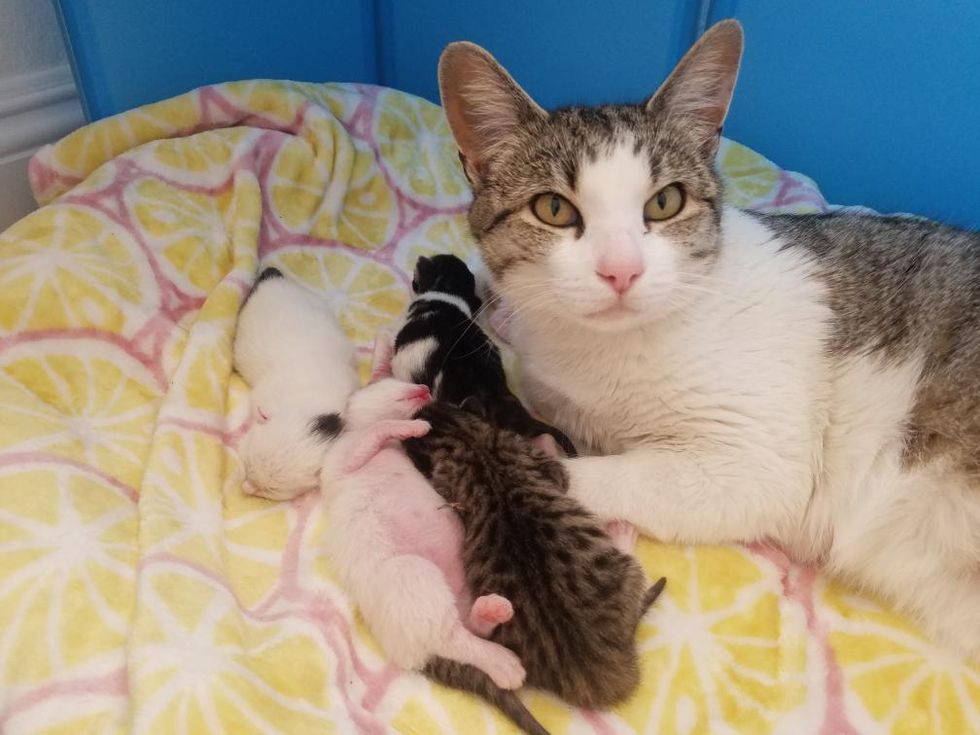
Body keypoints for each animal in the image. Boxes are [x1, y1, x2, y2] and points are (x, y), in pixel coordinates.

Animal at [316, 380, 552, 735]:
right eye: (389, 384)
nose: (424, 386)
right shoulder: (346, 462)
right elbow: (376, 431)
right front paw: (413, 427)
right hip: (413, 573)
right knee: (453, 639)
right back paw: (504, 663)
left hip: (456, 589)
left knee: (468, 628)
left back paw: (493, 610)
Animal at [400, 400, 668, 712]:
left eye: (437, 406)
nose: (423, 404)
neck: (468, 442)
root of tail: (590, 672)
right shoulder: (540, 463)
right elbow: (561, 477)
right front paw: (547, 443)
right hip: (627, 571)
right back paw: (623, 533)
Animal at [436, 20, 980, 660]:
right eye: (552, 208)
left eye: (664, 202)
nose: (621, 271)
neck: (604, 353)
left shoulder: (759, 464)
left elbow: (618, 473)